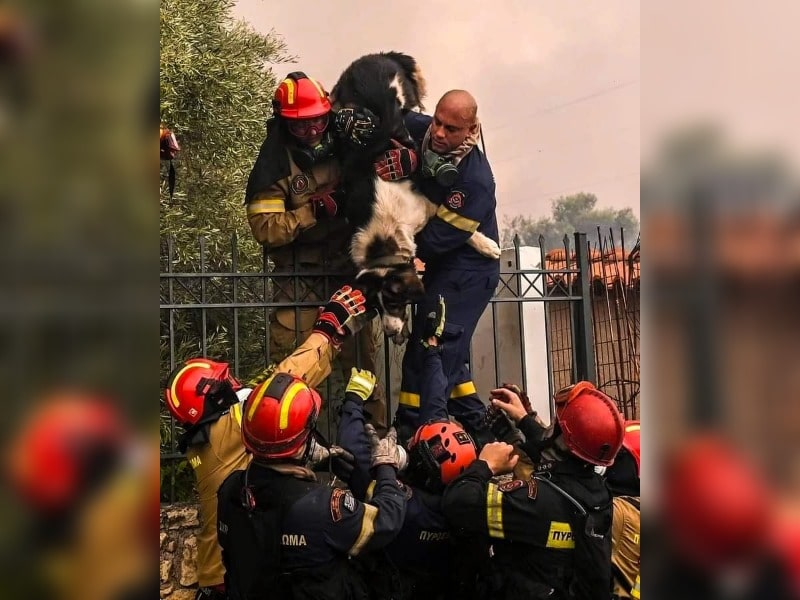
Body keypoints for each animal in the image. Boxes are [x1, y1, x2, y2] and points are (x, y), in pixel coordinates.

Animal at [332, 52, 500, 342]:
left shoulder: (426, 207)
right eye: (376, 307)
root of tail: (374, 57)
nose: (390, 333)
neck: (383, 240)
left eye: (394, 303)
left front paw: (487, 245)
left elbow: (461, 229)